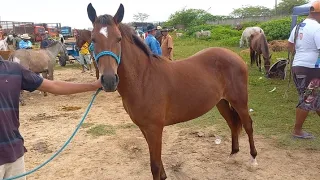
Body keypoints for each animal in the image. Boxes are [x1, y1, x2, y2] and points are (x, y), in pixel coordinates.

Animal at [87, 3, 258, 180]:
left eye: (118, 38)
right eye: (93, 39)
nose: (109, 80)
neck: (143, 79)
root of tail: (235, 56)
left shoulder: (154, 128)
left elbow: (155, 165)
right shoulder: (145, 128)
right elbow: (158, 163)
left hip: (240, 101)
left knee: (248, 125)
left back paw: (253, 159)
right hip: (222, 102)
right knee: (232, 124)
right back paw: (233, 154)